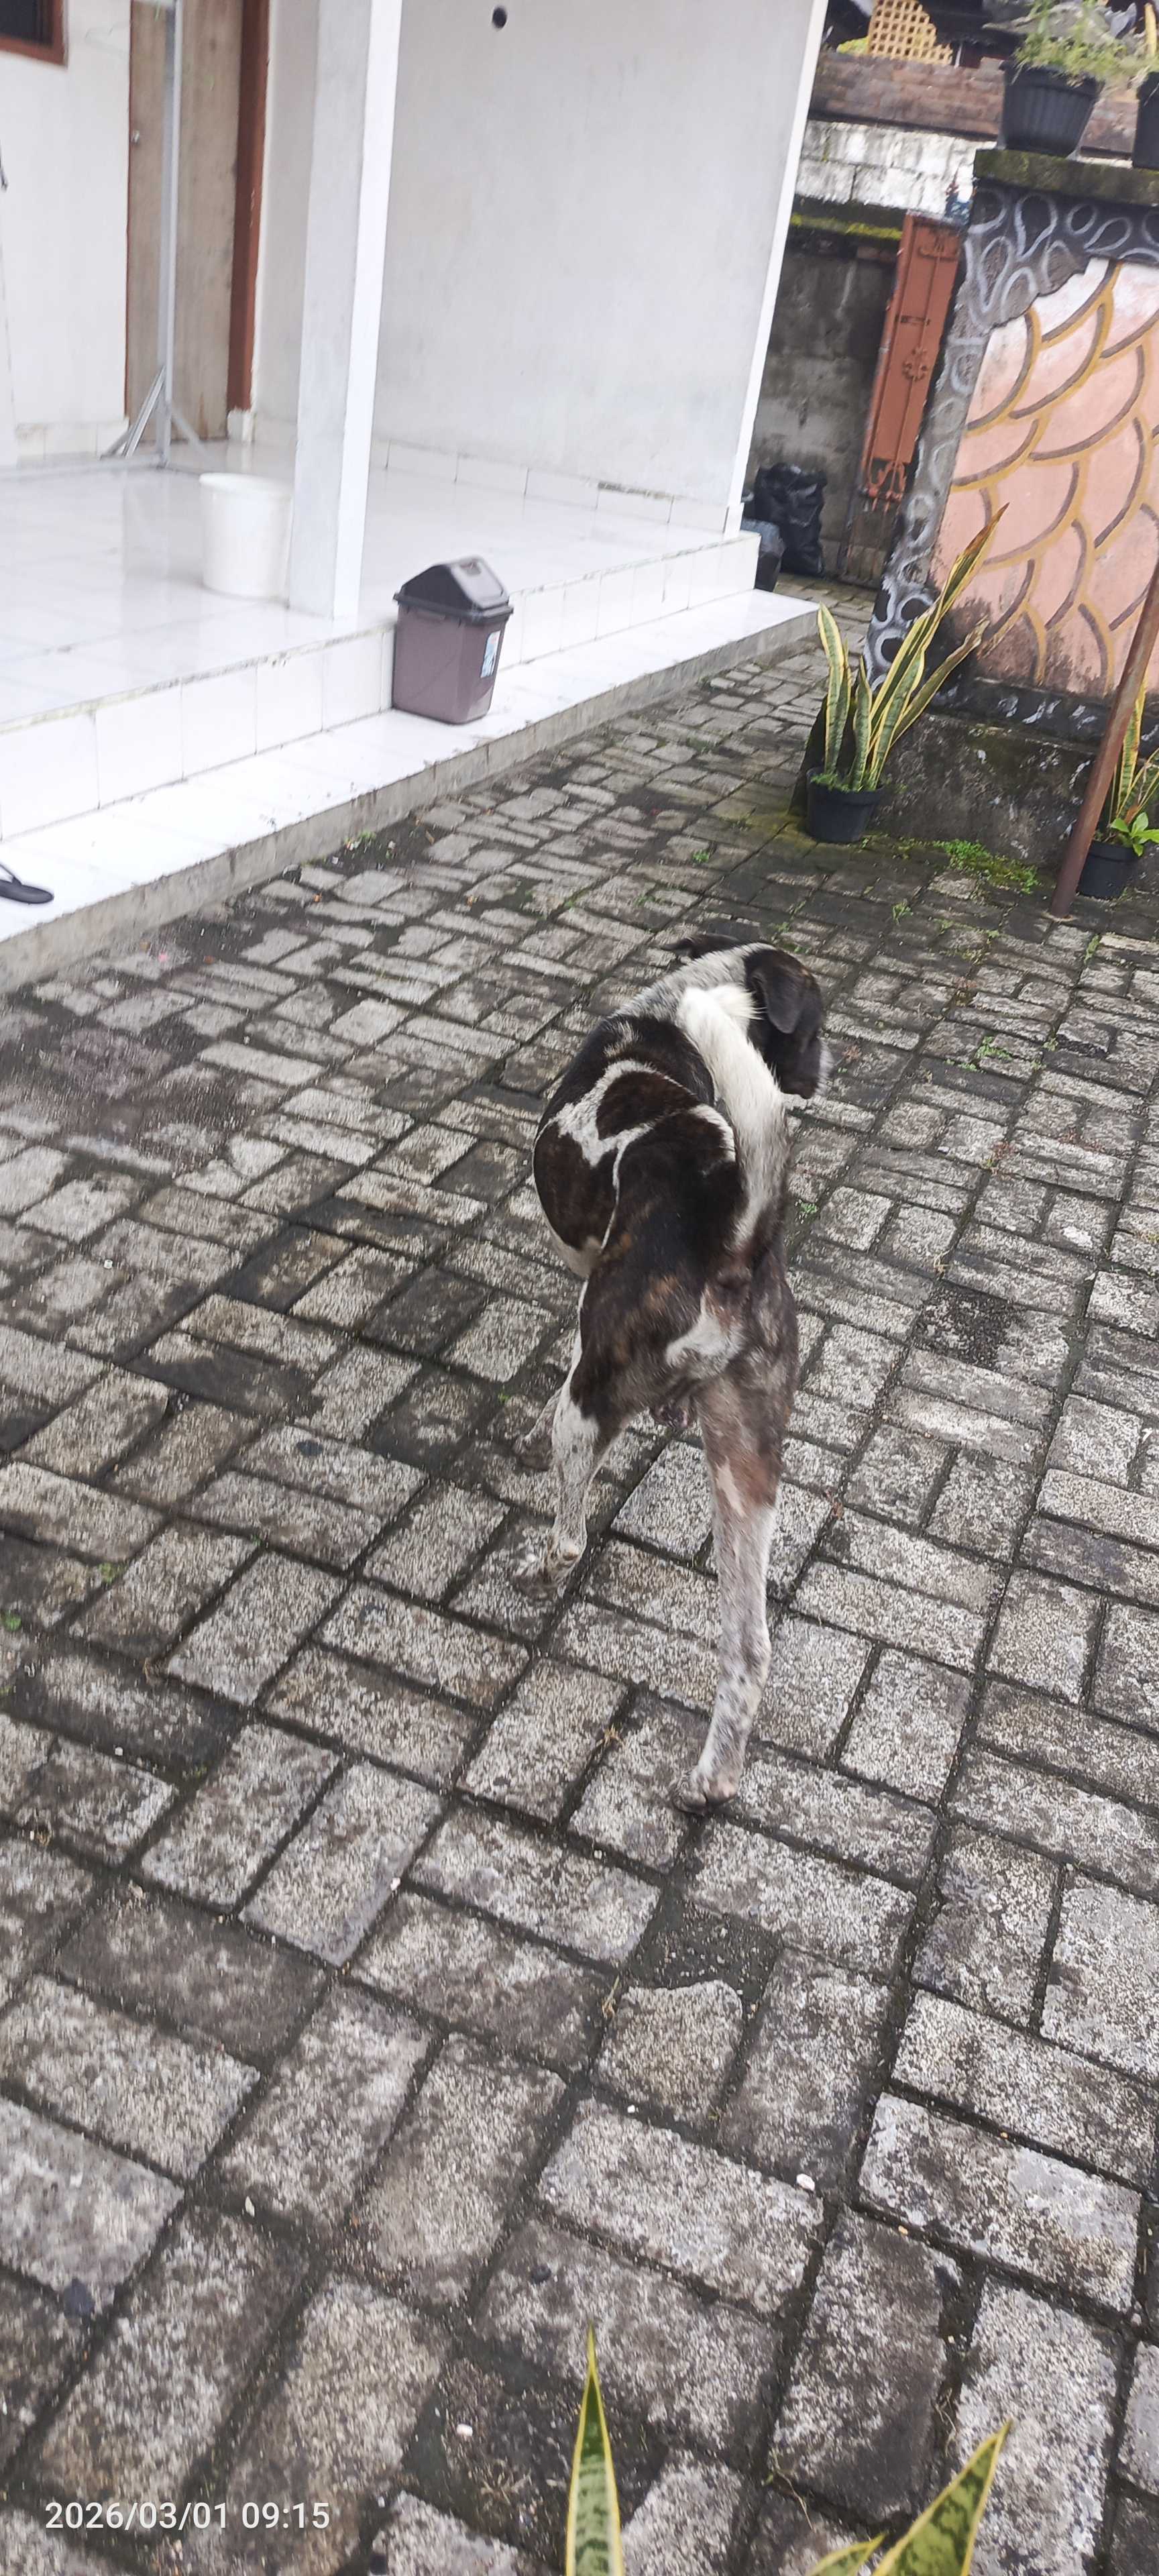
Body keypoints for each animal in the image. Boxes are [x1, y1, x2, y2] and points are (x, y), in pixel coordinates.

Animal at [513, 937, 828, 1810]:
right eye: (816, 1028)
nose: (826, 1072)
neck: (674, 1005)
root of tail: (735, 1245)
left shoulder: (586, 1298)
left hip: (593, 1407)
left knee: (572, 1534)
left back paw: (538, 1569)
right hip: (747, 1474)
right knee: (750, 1646)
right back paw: (712, 1779)